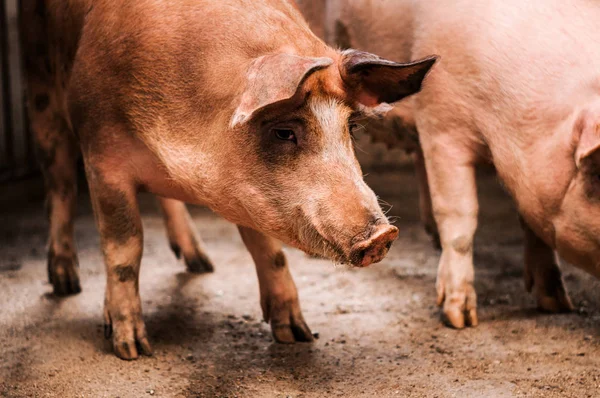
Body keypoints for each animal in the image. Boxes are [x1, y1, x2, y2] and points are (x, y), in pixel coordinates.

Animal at [19, 0, 436, 360]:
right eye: (284, 132)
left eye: (351, 127)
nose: (382, 236)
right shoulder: (102, 157)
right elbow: (125, 248)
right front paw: (131, 349)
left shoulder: (248, 191)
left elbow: (268, 248)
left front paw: (298, 335)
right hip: (40, 91)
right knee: (59, 183)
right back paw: (65, 283)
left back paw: (201, 264)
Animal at [302, 0, 600, 328]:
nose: (561, 304)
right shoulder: (442, 124)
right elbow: (460, 216)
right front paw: (460, 319)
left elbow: (532, 223)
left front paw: (557, 305)